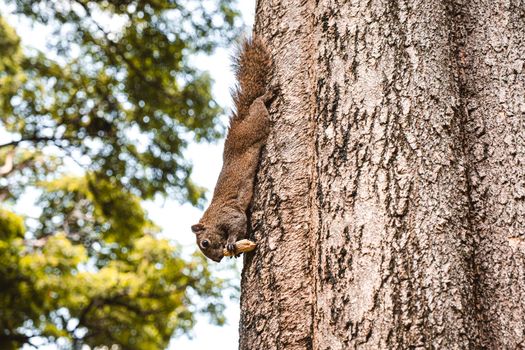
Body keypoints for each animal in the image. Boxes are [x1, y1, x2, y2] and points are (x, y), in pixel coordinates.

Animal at [191, 37, 274, 262]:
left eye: (205, 243)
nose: (218, 259)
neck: (212, 217)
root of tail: (240, 122)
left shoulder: (229, 214)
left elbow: (238, 223)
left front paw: (230, 241)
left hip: (255, 125)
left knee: (258, 104)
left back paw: (267, 95)